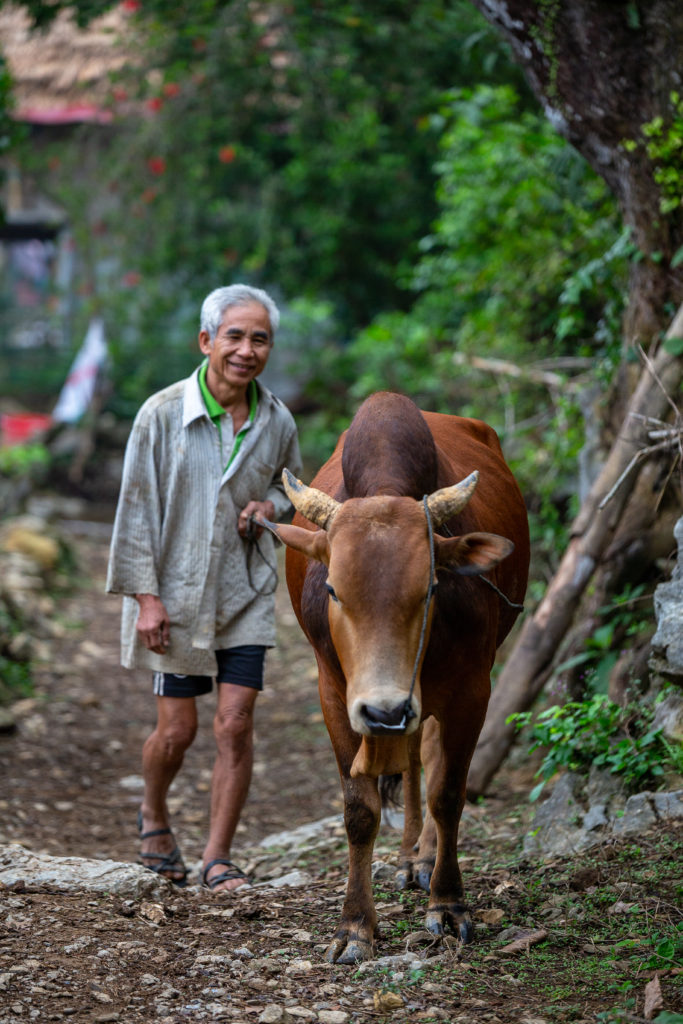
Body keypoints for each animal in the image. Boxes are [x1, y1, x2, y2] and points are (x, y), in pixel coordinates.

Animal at [262, 391, 528, 958]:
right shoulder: (336, 693)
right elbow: (359, 810)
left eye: (430, 587)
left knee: (424, 755)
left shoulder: (472, 691)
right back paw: (408, 858)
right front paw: (354, 926)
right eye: (333, 588)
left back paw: (422, 859)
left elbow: (448, 794)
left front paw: (448, 904)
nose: (384, 707)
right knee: (408, 757)